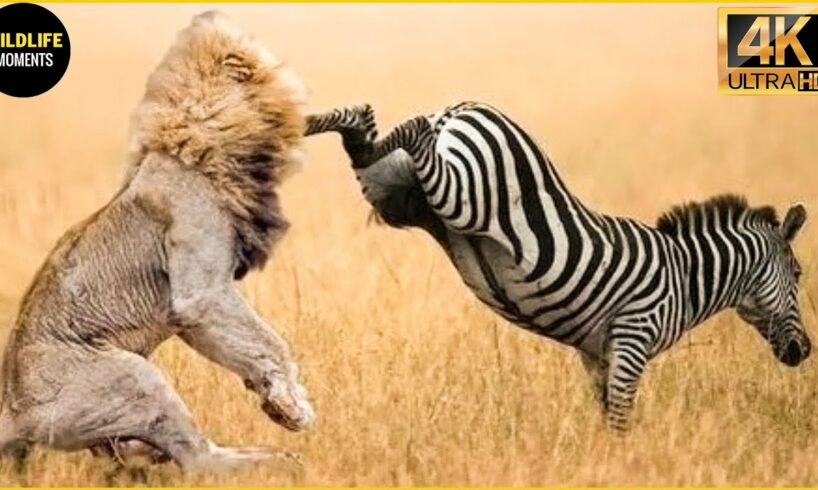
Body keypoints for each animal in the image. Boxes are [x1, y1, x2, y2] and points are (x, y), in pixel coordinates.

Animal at [0, 12, 315, 471]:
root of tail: (12, 410)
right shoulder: (200, 294)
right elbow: (269, 341)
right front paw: (292, 407)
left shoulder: (193, 314)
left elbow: (241, 343)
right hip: (137, 378)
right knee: (198, 460)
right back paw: (273, 461)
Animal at [305, 102, 811, 430]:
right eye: (800, 276)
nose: (804, 351)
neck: (686, 277)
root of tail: (461, 108)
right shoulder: (633, 338)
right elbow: (621, 419)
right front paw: (623, 463)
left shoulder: (597, 354)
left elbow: (606, 417)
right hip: (462, 194)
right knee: (413, 129)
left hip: (398, 197)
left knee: (364, 135)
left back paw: (316, 121)